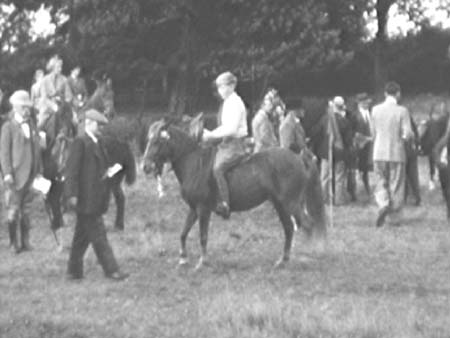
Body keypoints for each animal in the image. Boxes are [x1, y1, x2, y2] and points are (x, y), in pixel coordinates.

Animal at [142, 113, 326, 270]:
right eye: (148, 139)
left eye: (157, 141)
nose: (145, 166)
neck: (194, 164)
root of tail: (298, 157)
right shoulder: (193, 209)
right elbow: (183, 233)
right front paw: (183, 259)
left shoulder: (203, 209)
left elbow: (203, 236)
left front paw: (202, 262)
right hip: (280, 205)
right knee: (289, 228)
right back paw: (283, 260)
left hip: (291, 203)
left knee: (307, 225)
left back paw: (307, 255)